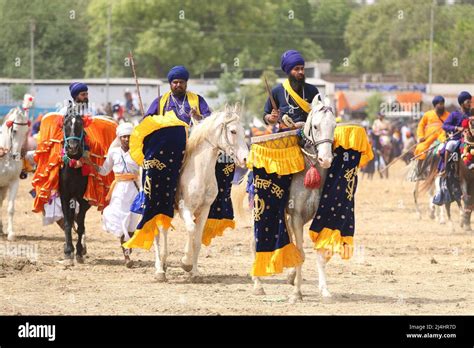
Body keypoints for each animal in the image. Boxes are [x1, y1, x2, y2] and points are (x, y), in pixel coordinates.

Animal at [153, 104, 250, 282]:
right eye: (233, 131)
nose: (246, 159)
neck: (200, 173)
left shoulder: (204, 209)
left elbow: (197, 239)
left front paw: (194, 272)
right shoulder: (185, 208)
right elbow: (191, 229)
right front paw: (185, 262)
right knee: (159, 231)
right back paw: (159, 270)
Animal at [252, 96, 336, 302]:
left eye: (333, 126)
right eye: (315, 126)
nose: (325, 160)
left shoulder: (315, 215)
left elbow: (317, 252)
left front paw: (324, 290)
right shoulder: (296, 215)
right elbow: (300, 252)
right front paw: (296, 293)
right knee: (255, 241)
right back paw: (258, 284)